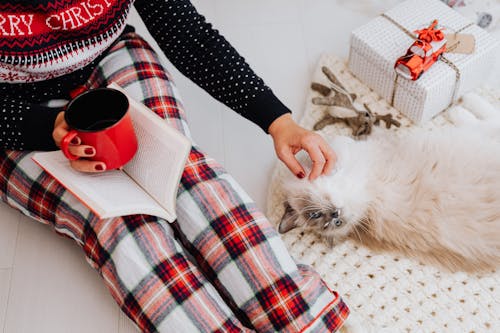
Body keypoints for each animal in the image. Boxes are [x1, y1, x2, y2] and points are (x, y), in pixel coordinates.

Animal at [280, 95, 500, 270]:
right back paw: (460, 106)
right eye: (335, 223)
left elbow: (365, 121)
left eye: (315, 214)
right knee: (485, 119)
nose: (336, 214)